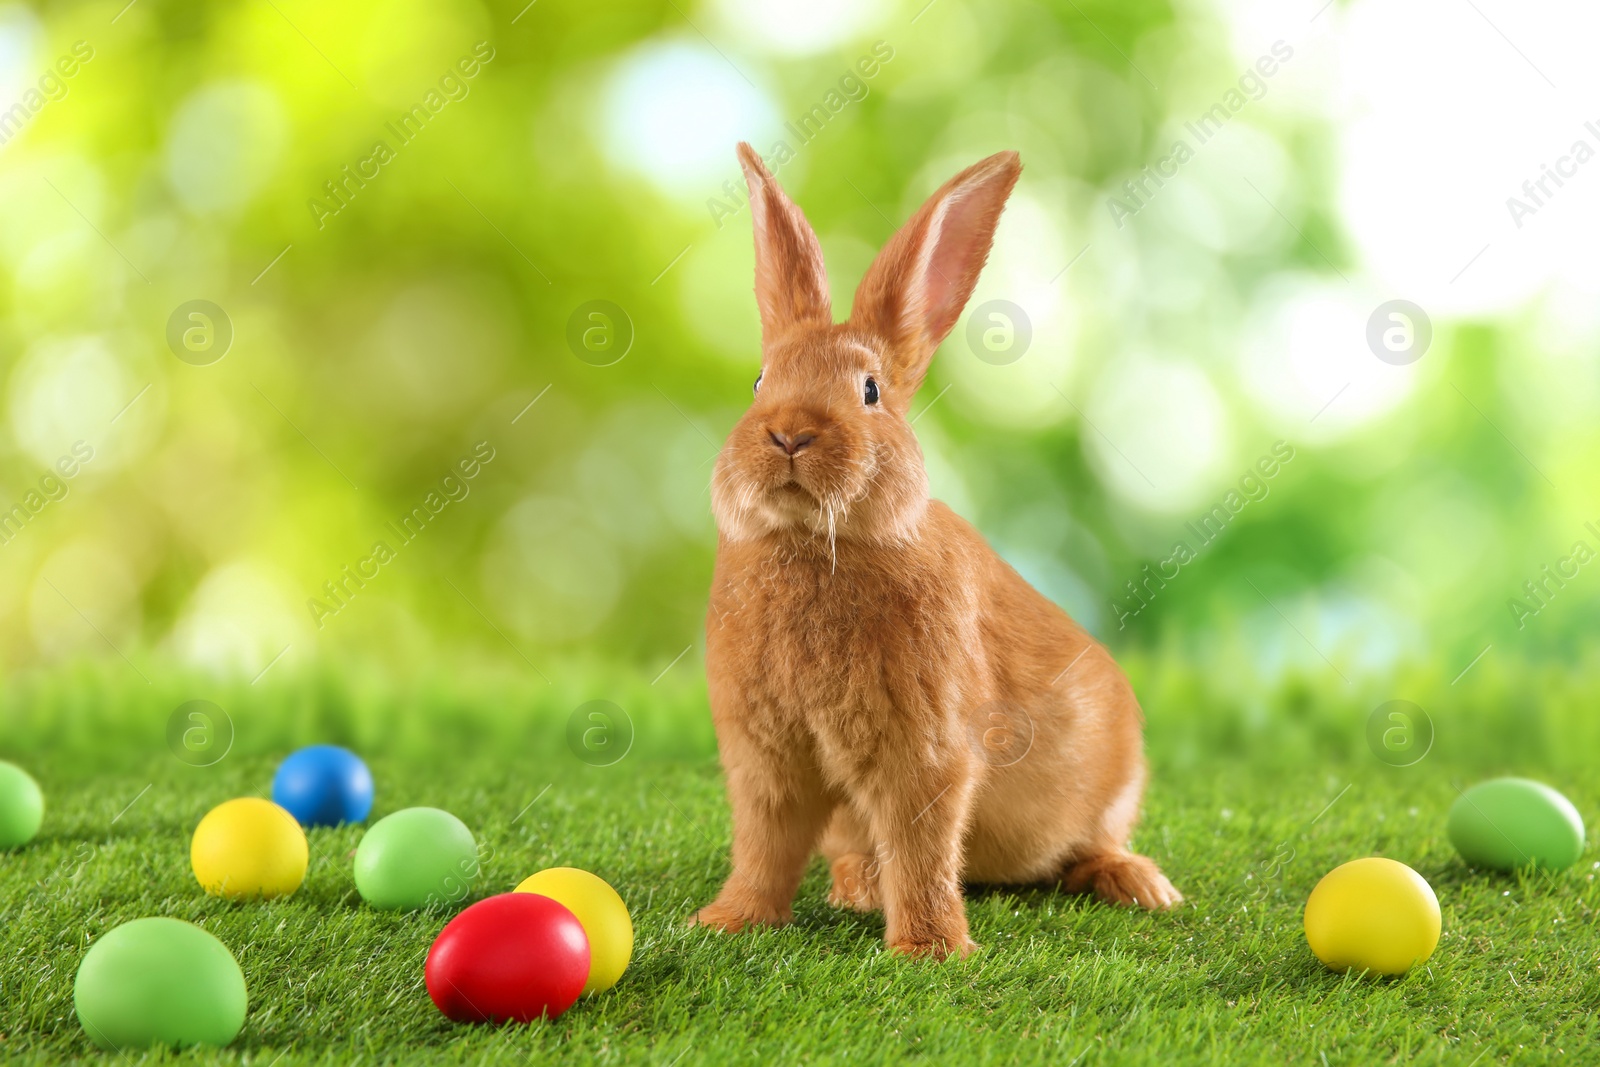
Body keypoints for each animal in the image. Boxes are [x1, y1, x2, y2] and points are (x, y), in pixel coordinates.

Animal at [694, 141, 1184, 959]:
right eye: (760, 381)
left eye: (869, 391)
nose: (789, 433)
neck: (815, 542)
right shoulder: (766, 756)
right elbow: (765, 843)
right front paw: (730, 921)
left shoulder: (924, 750)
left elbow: (920, 846)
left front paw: (929, 952)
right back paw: (858, 887)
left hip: (1117, 780)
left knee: (1092, 844)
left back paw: (1141, 885)